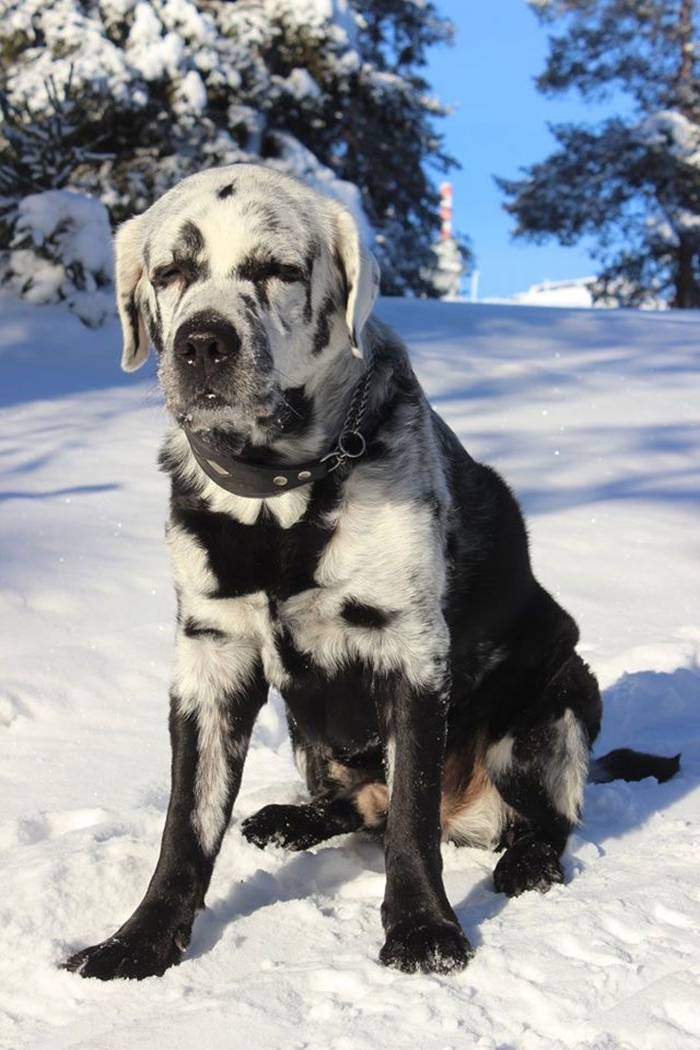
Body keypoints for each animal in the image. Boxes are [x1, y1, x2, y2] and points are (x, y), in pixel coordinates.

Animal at [63, 164, 679, 980]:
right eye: (171, 272)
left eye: (278, 269)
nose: (202, 343)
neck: (278, 501)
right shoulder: (208, 654)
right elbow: (185, 825)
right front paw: (137, 942)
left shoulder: (410, 652)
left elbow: (413, 814)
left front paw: (423, 929)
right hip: (308, 731)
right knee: (349, 805)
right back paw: (292, 819)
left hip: (553, 705)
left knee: (542, 819)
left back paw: (528, 861)